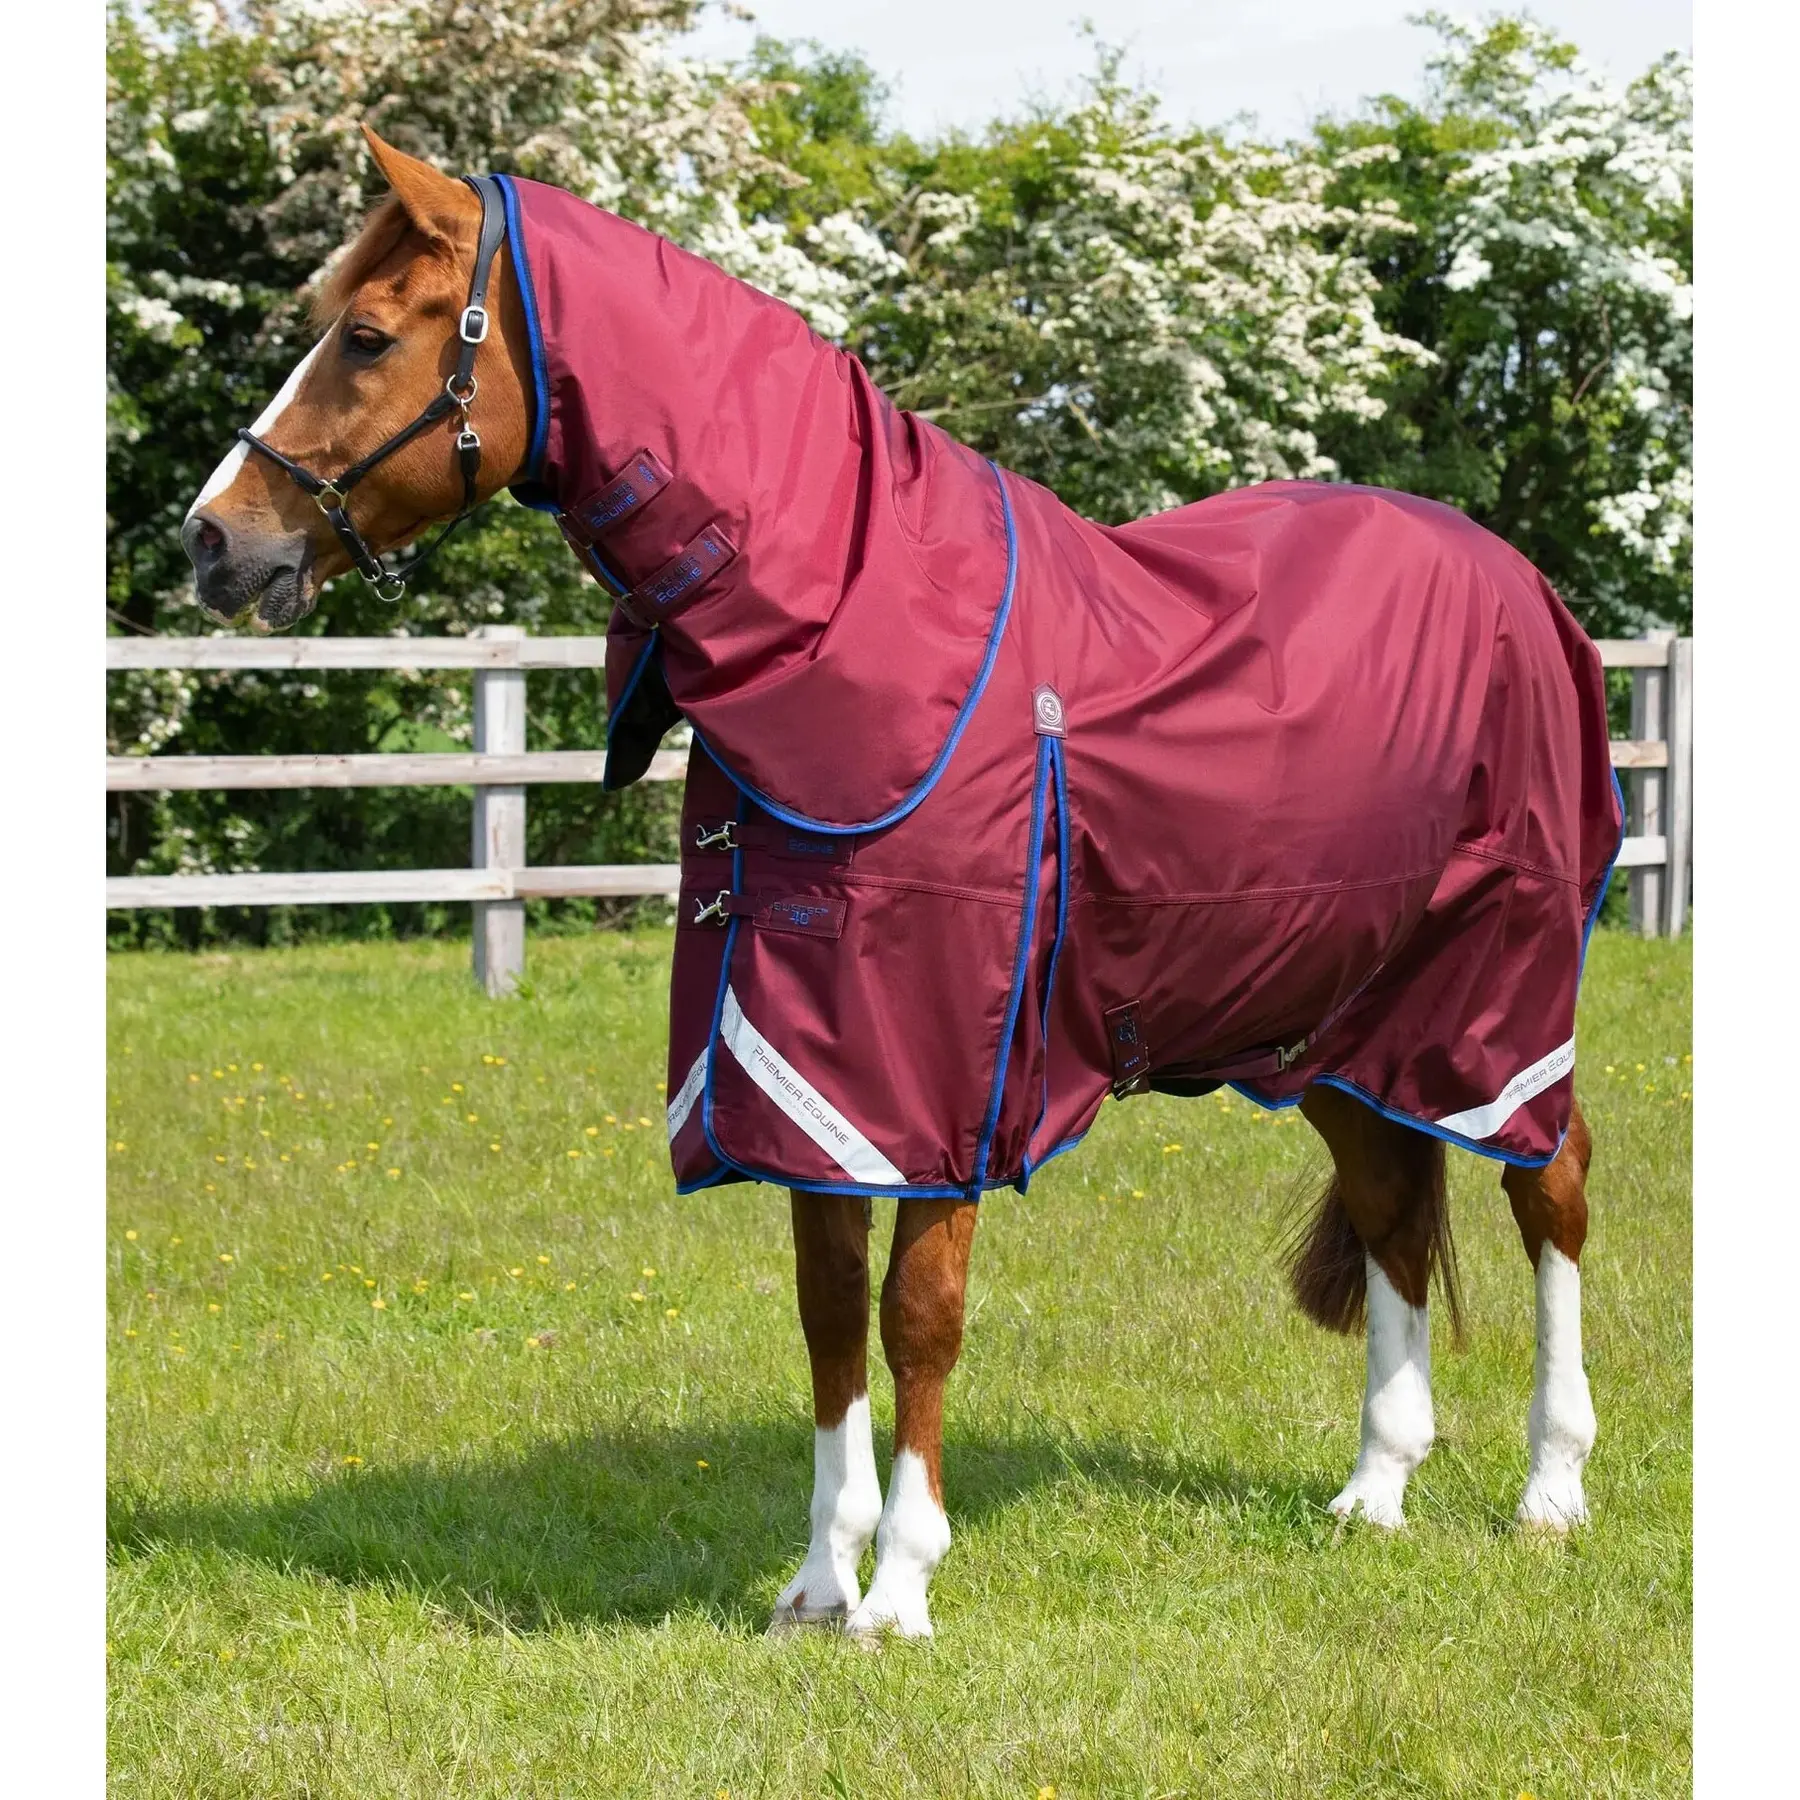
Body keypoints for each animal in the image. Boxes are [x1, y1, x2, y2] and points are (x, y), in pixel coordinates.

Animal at [182, 127, 1619, 1640]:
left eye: (365, 334)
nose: (211, 540)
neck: (860, 619)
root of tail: (1528, 590)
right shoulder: (804, 1081)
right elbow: (828, 1311)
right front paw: (820, 1582)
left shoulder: (938, 1084)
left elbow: (917, 1312)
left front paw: (901, 1591)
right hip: (1336, 1024)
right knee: (1397, 1205)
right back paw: (1376, 1490)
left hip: (1499, 1003)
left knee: (1551, 1187)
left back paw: (1550, 1490)